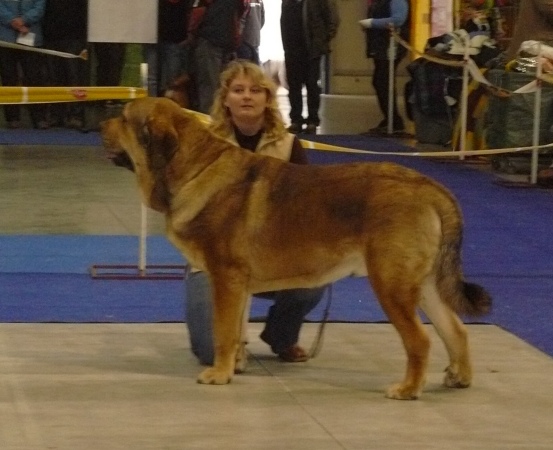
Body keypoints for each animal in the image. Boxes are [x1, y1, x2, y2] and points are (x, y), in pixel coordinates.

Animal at [101, 98, 490, 400]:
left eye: (125, 118)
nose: (102, 122)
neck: (194, 166)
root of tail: (428, 186)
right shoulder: (238, 287)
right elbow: (237, 330)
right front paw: (236, 365)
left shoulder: (226, 279)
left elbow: (223, 332)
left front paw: (219, 374)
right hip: (424, 285)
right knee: (455, 329)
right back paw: (460, 377)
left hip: (392, 285)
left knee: (420, 340)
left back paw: (408, 389)